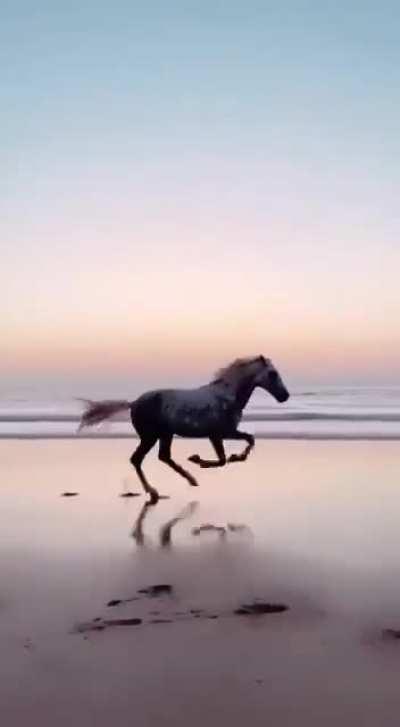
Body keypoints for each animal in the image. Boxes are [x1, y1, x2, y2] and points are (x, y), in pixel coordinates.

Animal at [78, 355, 289, 504]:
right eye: (272, 373)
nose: (285, 396)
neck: (227, 396)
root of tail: (134, 403)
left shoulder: (219, 434)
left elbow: (243, 445)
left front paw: (230, 457)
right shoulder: (221, 433)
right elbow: (226, 457)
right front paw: (199, 460)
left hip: (165, 435)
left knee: (162, 457)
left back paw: (188, 480)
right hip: (150, 436)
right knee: (138, 459)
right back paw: (156, 491)